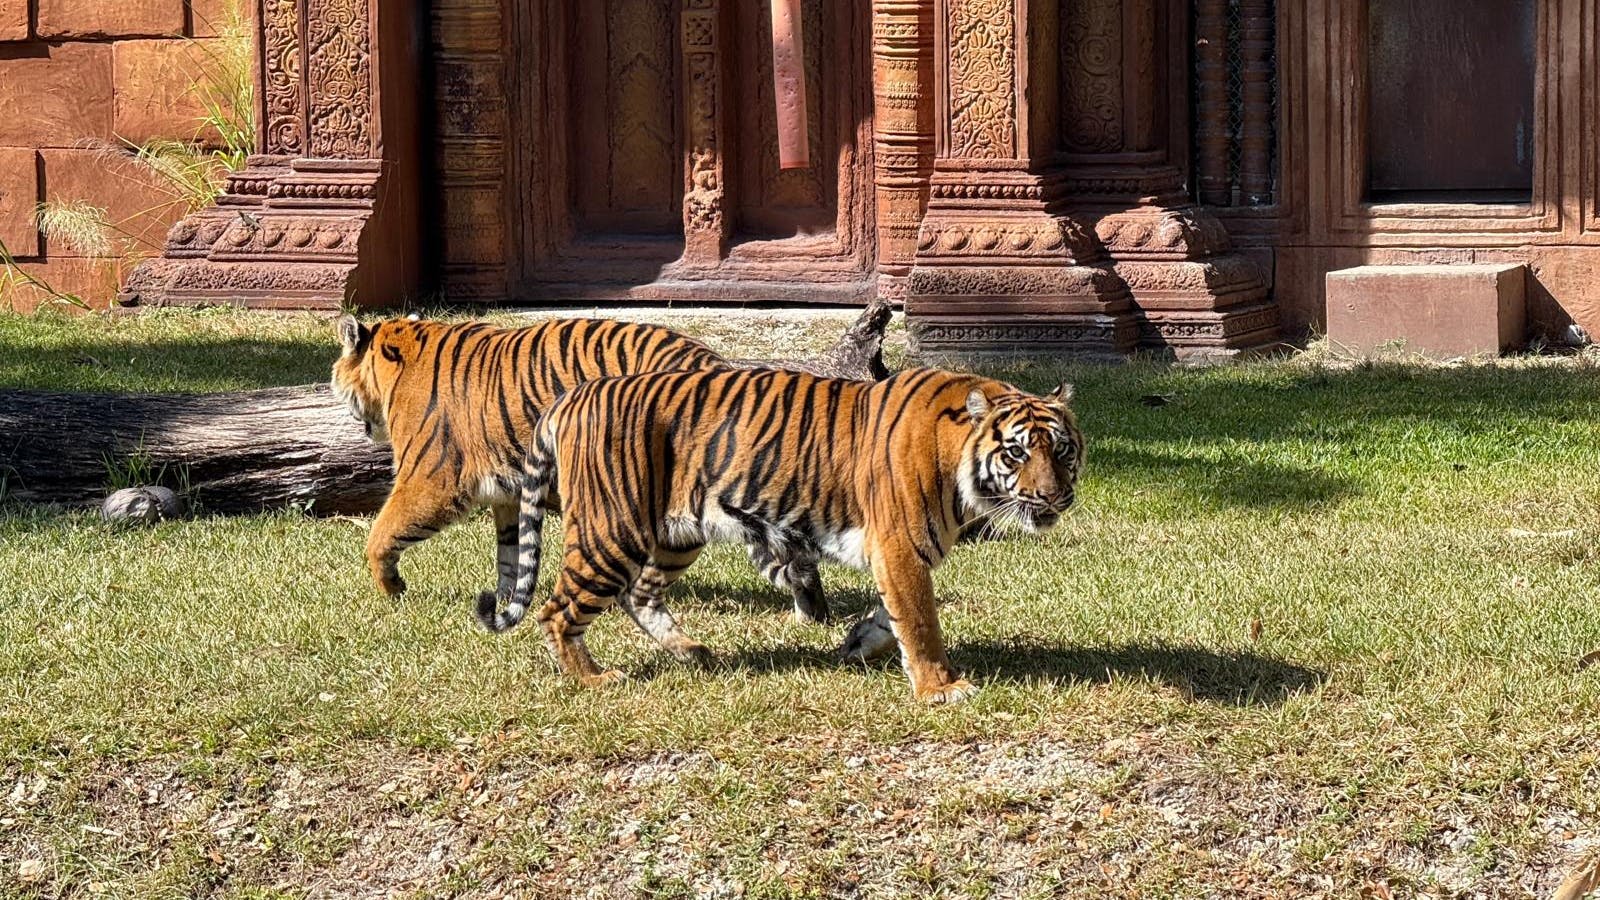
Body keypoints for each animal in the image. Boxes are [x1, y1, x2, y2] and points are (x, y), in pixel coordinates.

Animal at [329, 315, 832, 628]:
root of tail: (714, 362)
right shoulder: (507, 494)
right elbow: (510, 554)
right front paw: (505, 600)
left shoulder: (431, 479)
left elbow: (381, 533)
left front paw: (391, 588)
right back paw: (811, 614)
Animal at [475, 366, 1083, 704]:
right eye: (1017, 453)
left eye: (1062, 451)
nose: (1055, 497)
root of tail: (573, 395)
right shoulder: (899, 548)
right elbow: (920, 621)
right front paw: (941, 688)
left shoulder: (900, 555)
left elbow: (892, 615)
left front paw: (857, 643)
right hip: (611, 532)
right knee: (558, 611)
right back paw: (595, 680)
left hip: (676, 535)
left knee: (639, 593)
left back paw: (691, 653)